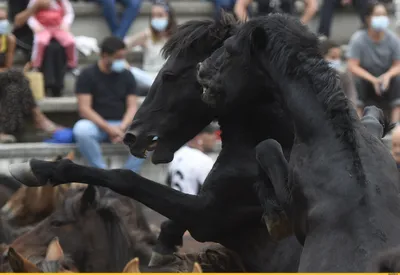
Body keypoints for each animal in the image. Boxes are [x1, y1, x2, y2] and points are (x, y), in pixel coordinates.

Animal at [197, 14, 400, 272]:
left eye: (230, 49)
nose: (201, 68)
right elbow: (372, 116)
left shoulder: (295, 211)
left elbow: (267, 147)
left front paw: (274, 218)